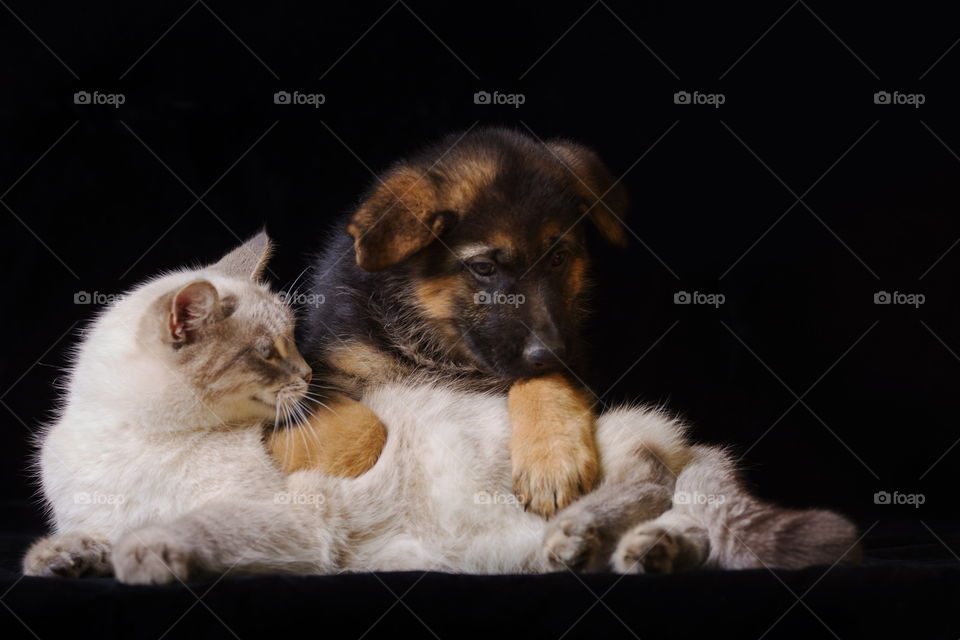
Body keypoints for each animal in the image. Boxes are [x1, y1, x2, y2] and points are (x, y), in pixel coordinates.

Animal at [270, 127, 632, 516]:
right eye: (483, 268)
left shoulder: (572, 354)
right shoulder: (325, 370)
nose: (551, 354)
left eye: (559, 258)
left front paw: (551, 457)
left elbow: (545, 382)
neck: (437, 344)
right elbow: (365, 430)